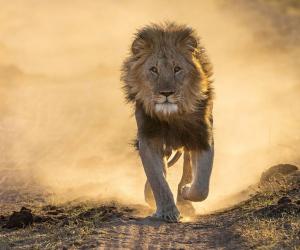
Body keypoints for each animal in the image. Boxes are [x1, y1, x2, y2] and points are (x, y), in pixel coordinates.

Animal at [120, 23, 214, 223]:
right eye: (153, 69)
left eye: (177, 69)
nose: (166, 93)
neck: (172, 116)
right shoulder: (149, 140)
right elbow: (158, 180)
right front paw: (167, 211)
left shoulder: (201, 136)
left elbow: (202, 184)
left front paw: (186, 192)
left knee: (188, 169)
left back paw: (185, 198)